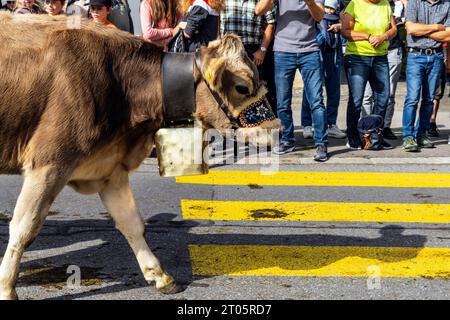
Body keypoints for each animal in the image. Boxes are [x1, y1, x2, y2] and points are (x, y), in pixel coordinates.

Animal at [0, 11, 282, 298]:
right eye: (242, 87)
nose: (276, 128)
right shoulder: (49, 162)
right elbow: (24, 229)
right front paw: (7, 287)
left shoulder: (110, 167)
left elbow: (132, 224)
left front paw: (160, 276)